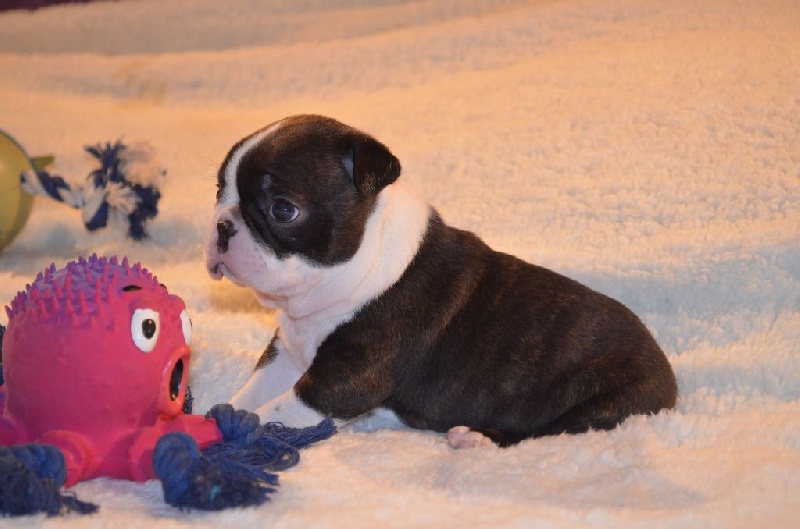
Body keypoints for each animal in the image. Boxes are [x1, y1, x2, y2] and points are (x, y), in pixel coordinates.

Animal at [205, 114, 677, 448]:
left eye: (282, 209)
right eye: (218, 191)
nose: (222, 227)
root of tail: (666, 372)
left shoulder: (345, 379)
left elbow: (278, 408)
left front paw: (226, 435)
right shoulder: (287, 351)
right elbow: (251, 392)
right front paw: (221, 413)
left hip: (607, 399)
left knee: (549, 430)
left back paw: (477, 438)